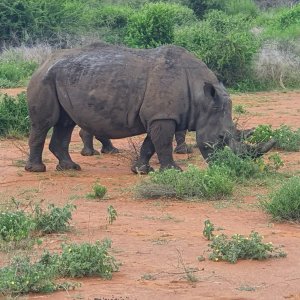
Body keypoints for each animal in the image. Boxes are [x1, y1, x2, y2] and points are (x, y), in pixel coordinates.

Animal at [25, 42, 274, 173]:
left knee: (65, 122)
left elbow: (150, 144)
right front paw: (173, 171)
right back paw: (38, 170)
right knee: (45, 123)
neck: (202, 99)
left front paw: (141, 170)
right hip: (44, 80)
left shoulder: (159, 115)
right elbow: (162, 144)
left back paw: (70, 167)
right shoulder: (162, 116)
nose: (232, 168)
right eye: (221, 138)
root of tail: (42, 63)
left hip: (63, 78)